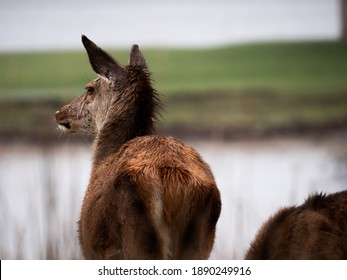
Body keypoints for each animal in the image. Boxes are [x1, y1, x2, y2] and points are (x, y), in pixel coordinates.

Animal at [54, 35, 223, 260]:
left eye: (89, 89)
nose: (59, 113)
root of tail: (172, 180)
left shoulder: (91, 251)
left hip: (136, 235)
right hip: (199, 242)